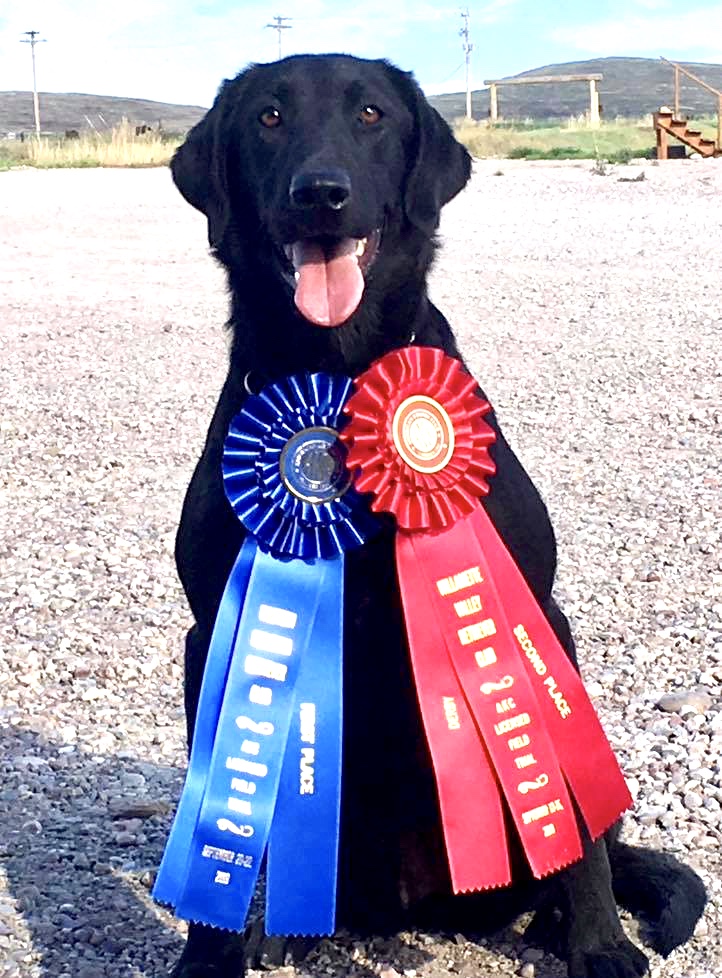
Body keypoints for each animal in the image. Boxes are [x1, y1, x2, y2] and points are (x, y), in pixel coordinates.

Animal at [165, 55, 704, 976]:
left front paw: (599, 944)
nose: (322, 193)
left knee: (584, 840)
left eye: (371, 115)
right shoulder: (214, 630)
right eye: (268, 117)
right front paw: (210, 957)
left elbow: (572, 821)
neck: (340, 379)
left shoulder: (535, 610)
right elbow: (221, 823)